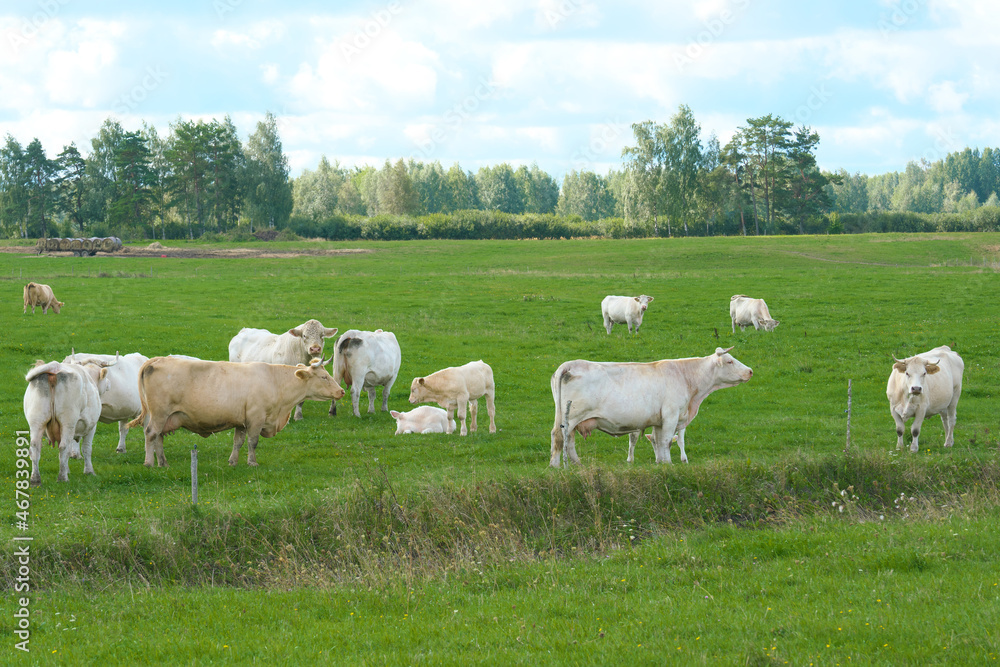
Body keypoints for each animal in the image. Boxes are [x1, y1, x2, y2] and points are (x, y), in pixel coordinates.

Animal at [552, 348, 752, 468]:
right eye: (730, 361)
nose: (750, 371)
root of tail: (570, 364)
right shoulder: (671, 414)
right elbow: (667, 441)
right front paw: (669, 464)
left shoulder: (659, 420)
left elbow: (659, 440)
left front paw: (661, 462)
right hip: (572, 417)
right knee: (559, 437)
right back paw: (555, 466)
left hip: (568, 418)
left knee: (569, 441)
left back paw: (577, 464)